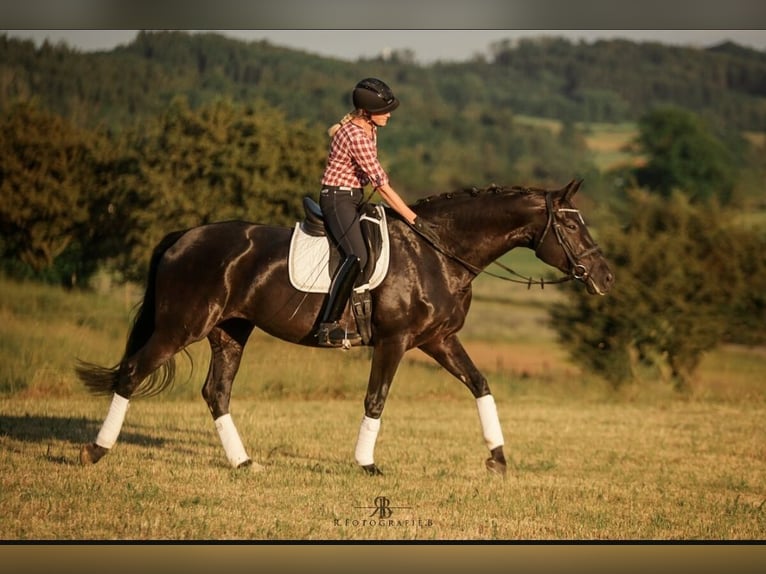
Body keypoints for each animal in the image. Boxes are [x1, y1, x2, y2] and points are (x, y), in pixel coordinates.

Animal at [78, 179, 616, 476]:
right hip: (181, 326)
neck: (438, 252)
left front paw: (498, 459)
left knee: (216, 392)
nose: (606, 277)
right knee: (132, 373)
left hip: (229, 330)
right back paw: (95, 452)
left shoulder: (439, 340)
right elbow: (376, 400)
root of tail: (183, 238)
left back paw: (244, 463)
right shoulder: (396, 342)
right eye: (572, 226)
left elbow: (481, 385)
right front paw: (367, 464)